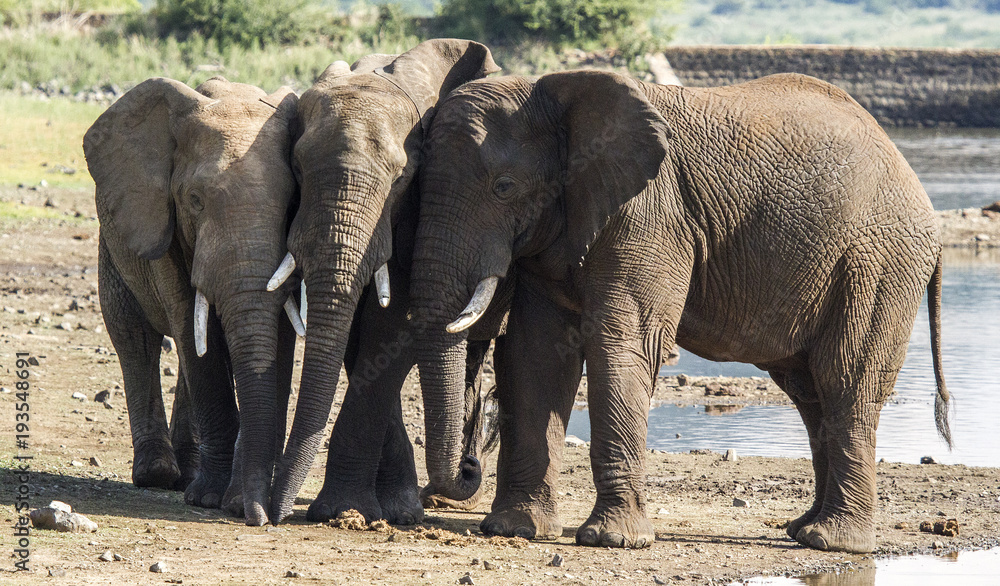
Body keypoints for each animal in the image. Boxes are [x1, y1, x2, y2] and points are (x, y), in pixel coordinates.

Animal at [84, 77, 301, 526]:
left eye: (294, 200)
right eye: (195, 200)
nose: (261, 517)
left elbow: (279, 338)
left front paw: (230, 500)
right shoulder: (161, 222)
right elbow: (188, 322)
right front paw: (209, 500)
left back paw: (185, 474)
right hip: (113, 244)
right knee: (135, 338)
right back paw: (157, 474)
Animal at [265, 39, 503, 524]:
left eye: (401, 177)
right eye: (296, 165)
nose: (274, 515)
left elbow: (396, 327)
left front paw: (347, 511)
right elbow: (360, 339)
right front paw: (383, 509)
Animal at [407, 70, 951, 553]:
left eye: (504, 187)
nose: (468, 468)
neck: (551, 92)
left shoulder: (650, 214)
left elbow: (621, 341)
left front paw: (612, 541)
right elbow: (535, 353)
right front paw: (514, 530)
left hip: (878, 264)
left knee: (844, 379)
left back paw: (832, 542)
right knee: (807, 388)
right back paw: (802, 530)